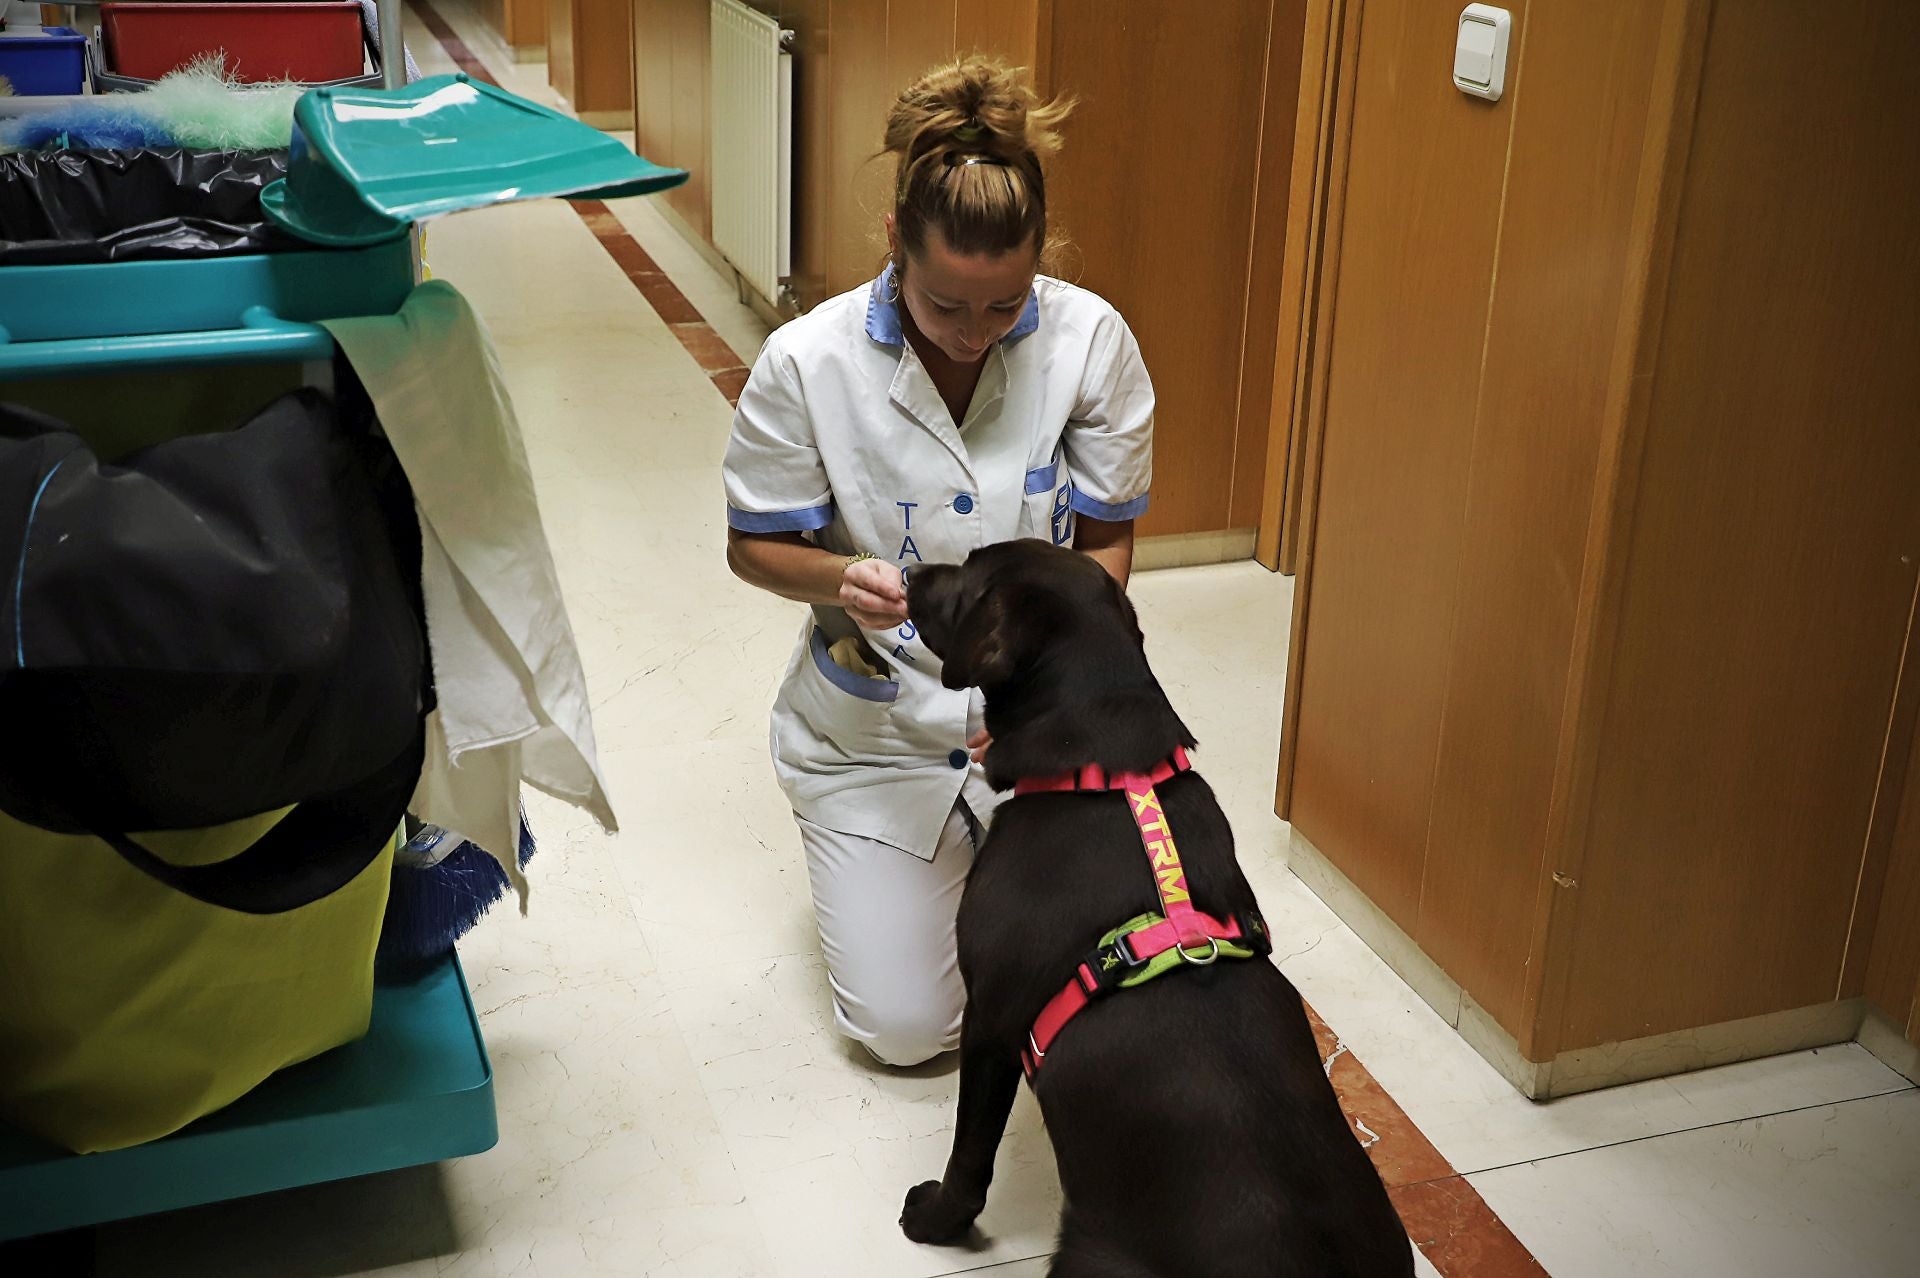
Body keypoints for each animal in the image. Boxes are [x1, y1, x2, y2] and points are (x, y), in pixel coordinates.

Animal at [898, 541, 1413, 1274]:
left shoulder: (991, 1021)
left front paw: (936, 1218)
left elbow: (971, 1153)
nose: (911, 572)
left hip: (1087, 1252)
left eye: (970, 576)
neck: (1106, 775)